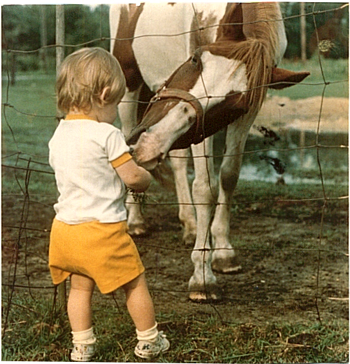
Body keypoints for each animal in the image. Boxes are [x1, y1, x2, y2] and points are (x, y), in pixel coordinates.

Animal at [110, 2, 308, 302]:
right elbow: (205, 188)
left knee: (179, 162)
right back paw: (136, 221)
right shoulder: (200, 135)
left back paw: (190, 225)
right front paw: (202, 277)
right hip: (130, 86)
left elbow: (228, 177)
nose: (150, 142)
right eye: (195, 60)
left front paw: (224, 252)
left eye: (233, 104)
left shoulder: (244, 115)